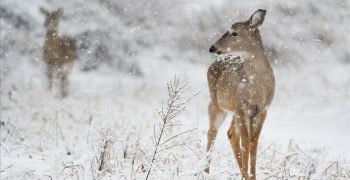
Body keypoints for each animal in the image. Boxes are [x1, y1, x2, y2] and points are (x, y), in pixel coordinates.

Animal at [205, 9, 276, 180]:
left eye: (234, 33)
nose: (212, 47)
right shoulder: (241, 108)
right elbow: (246, 142)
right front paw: (247, 176)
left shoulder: (262, 110)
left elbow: (254, 142)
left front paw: (252, 176)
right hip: (217, 104)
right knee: (212, 133)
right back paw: (204, 172)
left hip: (233, 110)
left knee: (231, 134)